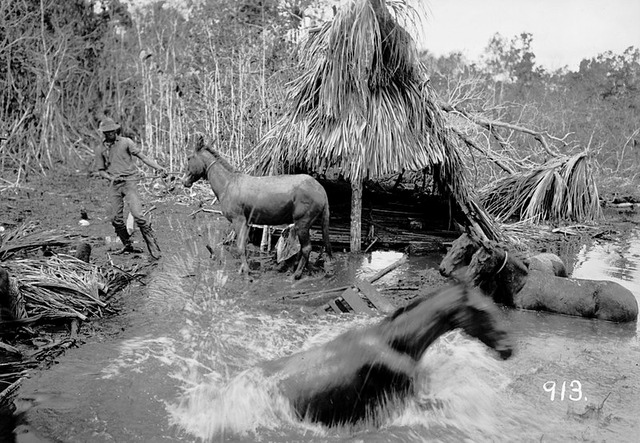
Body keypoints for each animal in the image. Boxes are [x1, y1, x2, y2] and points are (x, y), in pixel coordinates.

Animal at [180, 137, 330, 280]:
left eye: (189, 158)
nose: (183, 181)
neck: (227, 185)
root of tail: (321, 189)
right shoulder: (247, 222)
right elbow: (244, 247)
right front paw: (245, 269)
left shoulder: (238, 220)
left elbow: (240, 247)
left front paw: (246, 273)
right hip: (306, 224)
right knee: (304, 249)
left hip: (302, 223)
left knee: (306, 248)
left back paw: (296, 275)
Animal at [464, 243, 640, 322]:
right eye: (472, 257)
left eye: (481, 261)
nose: (466, 279)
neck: (519, 283)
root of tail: (635, 305)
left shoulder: (526, 308)